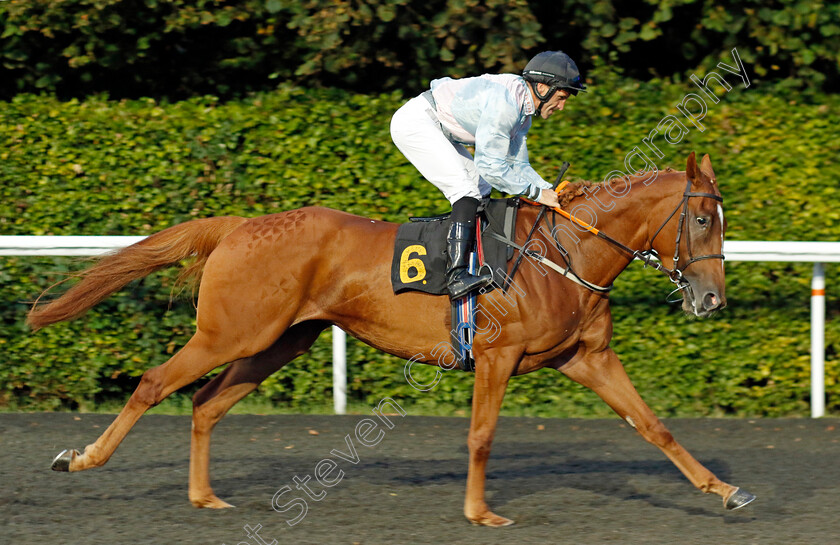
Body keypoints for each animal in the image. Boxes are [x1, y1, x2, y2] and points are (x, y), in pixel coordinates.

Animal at [31, 151, 756, 524]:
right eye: (700, 218)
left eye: (723, 220)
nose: (711, 298)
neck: (566, 253)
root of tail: (240, 225)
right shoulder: (497, 355)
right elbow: (481, 435)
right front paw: (479, 511)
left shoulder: (587, 357)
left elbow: (654, 425)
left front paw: (725, 489)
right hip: (230, 331)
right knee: (156, 382)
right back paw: (82, 458)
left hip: (278, 341)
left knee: (206, 402)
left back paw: (204, 494)